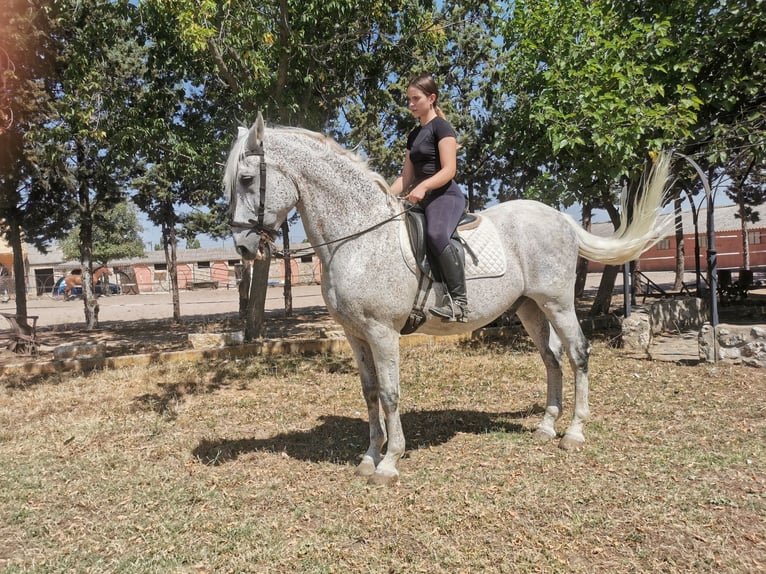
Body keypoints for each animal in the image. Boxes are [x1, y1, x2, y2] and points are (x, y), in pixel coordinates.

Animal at [225, 115, 676, 488]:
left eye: (246, 179)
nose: (243, 247)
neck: (359, 237)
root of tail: (559, 217)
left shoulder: (382, 332)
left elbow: (389, 393)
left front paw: (390, 462)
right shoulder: (355, 334)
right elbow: (369, 393)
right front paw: (369, 457)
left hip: (558, 302)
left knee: (579, 353)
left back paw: (574, 432)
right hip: (529, 307)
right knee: (551, 358)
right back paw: (547, 426)